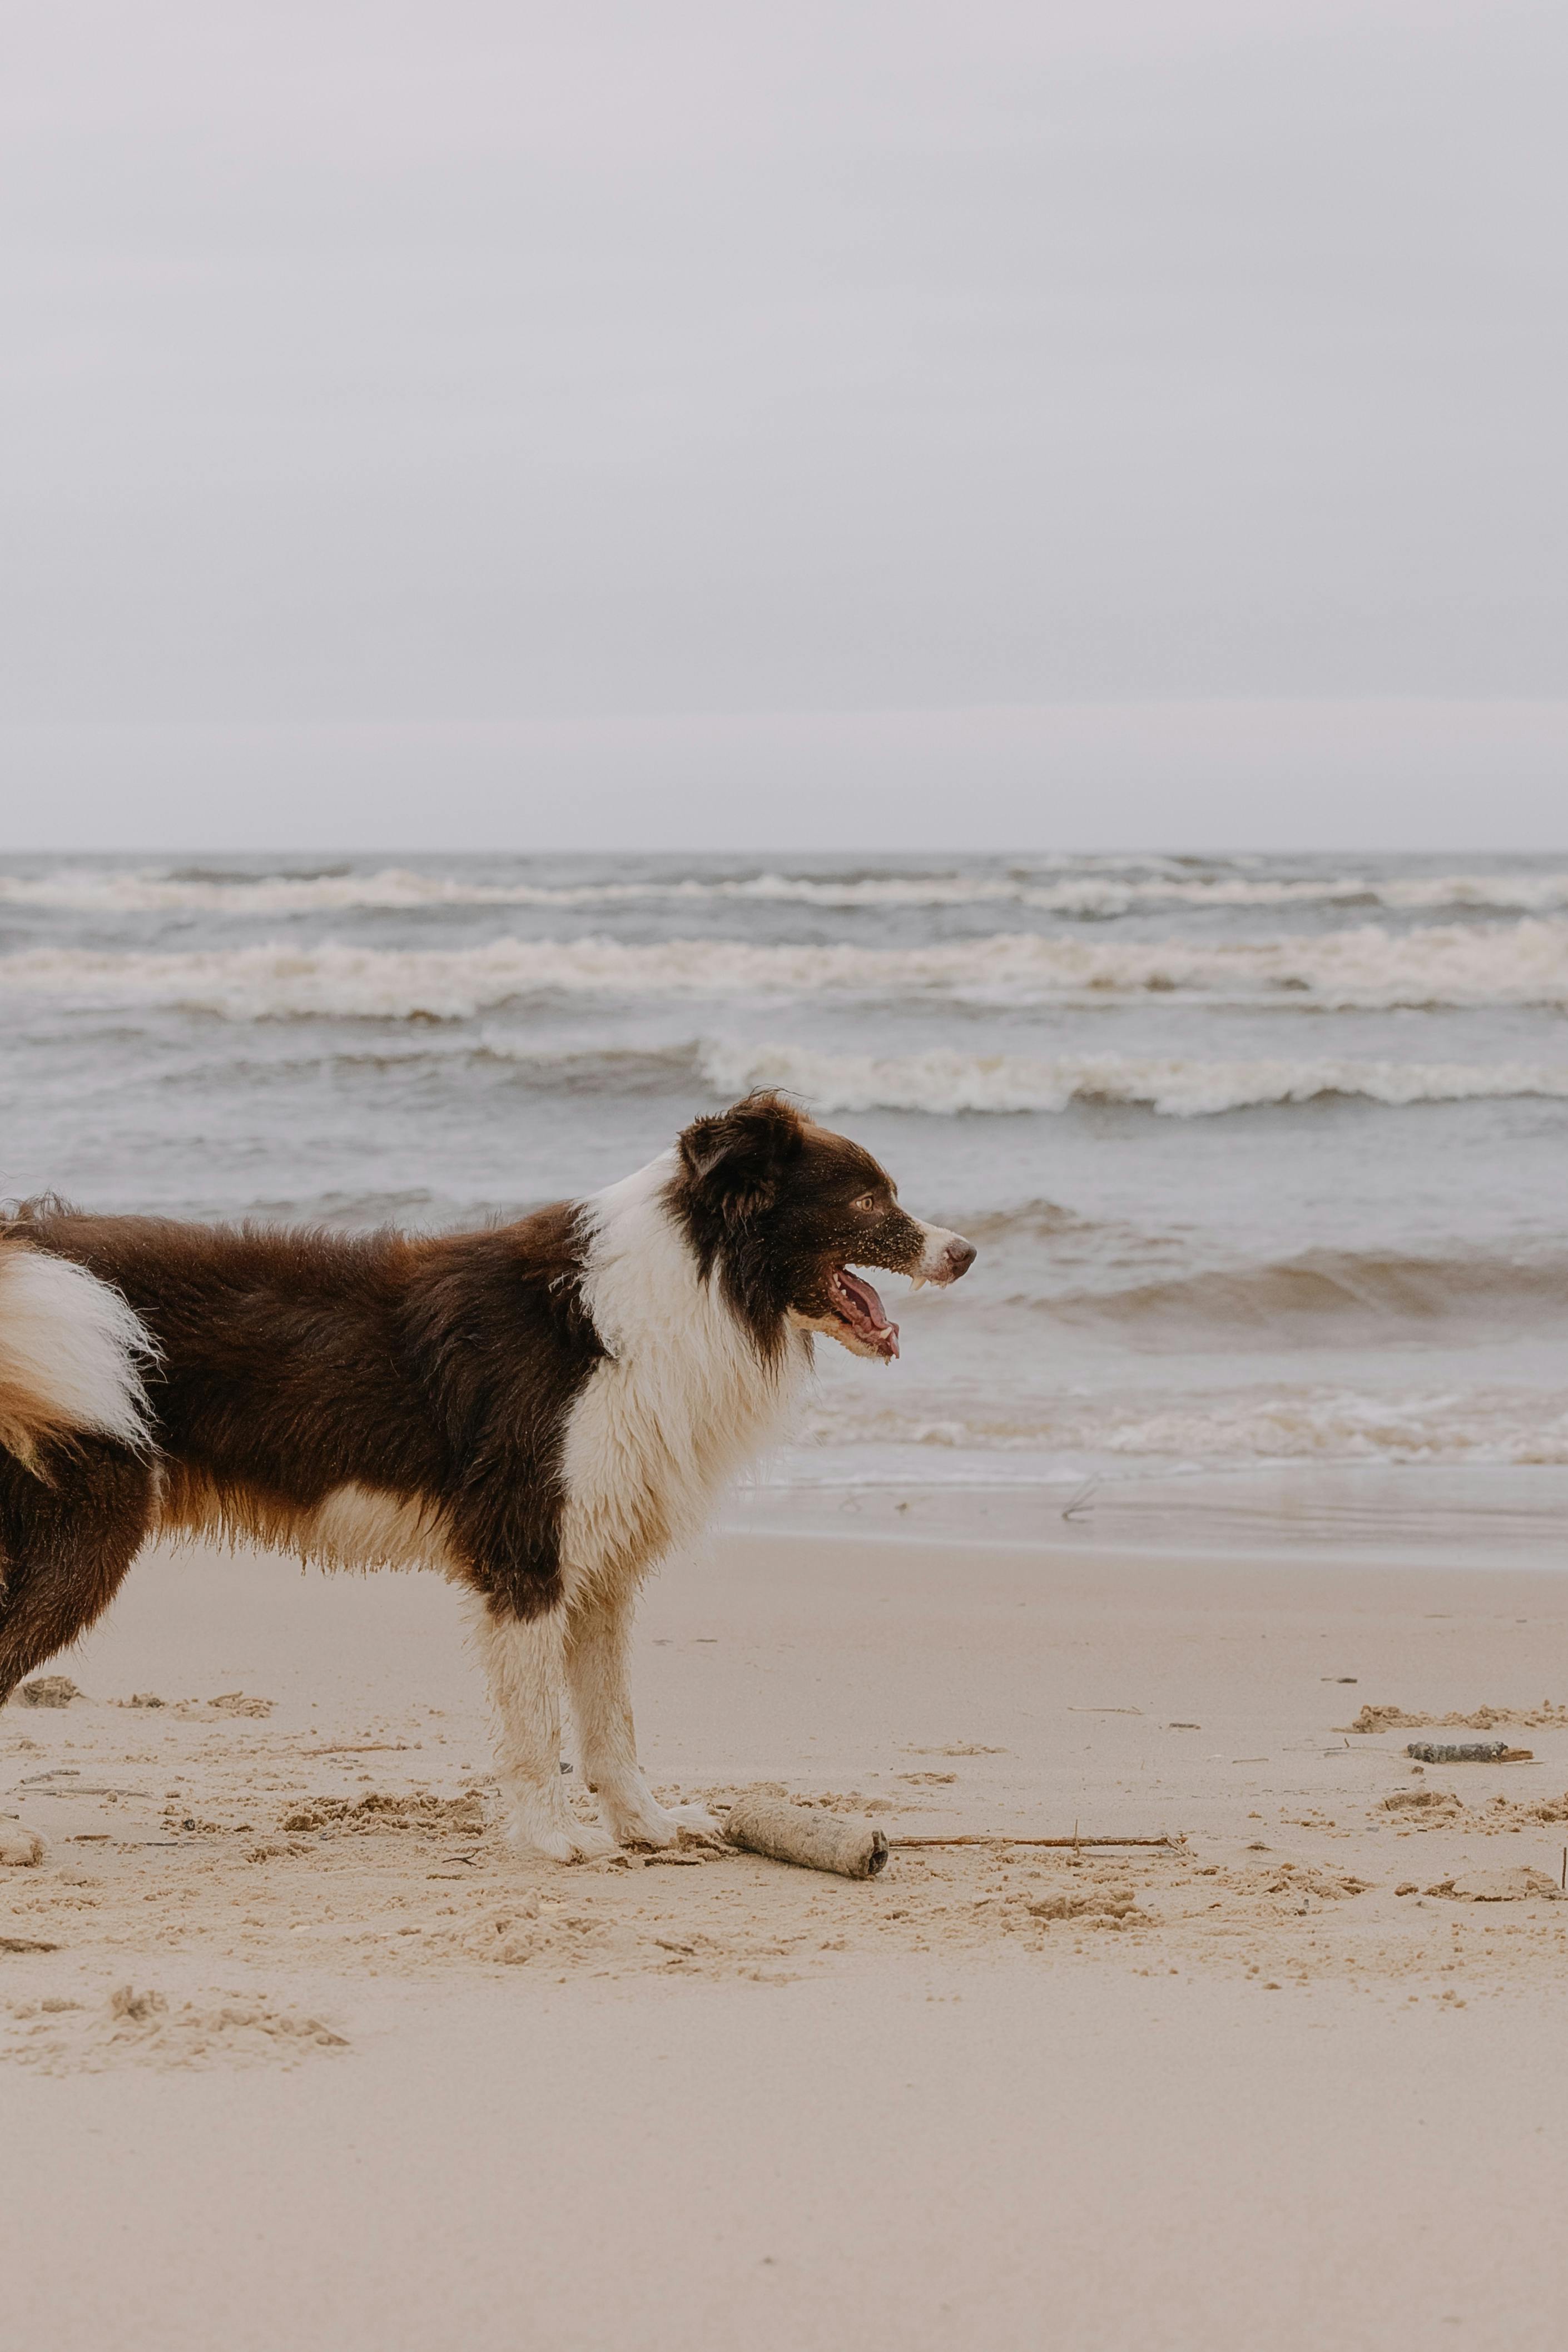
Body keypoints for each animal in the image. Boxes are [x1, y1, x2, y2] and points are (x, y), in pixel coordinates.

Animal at [0, 1091, 973, 1863]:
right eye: (868, 1196)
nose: (966, 1253)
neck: (685, 1289)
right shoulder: (526, 1553)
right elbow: (540, 1726)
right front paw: (552, 1841)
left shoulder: (601, 1569)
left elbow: (613, 1724)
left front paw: (648, 1828)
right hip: (84, 1538)